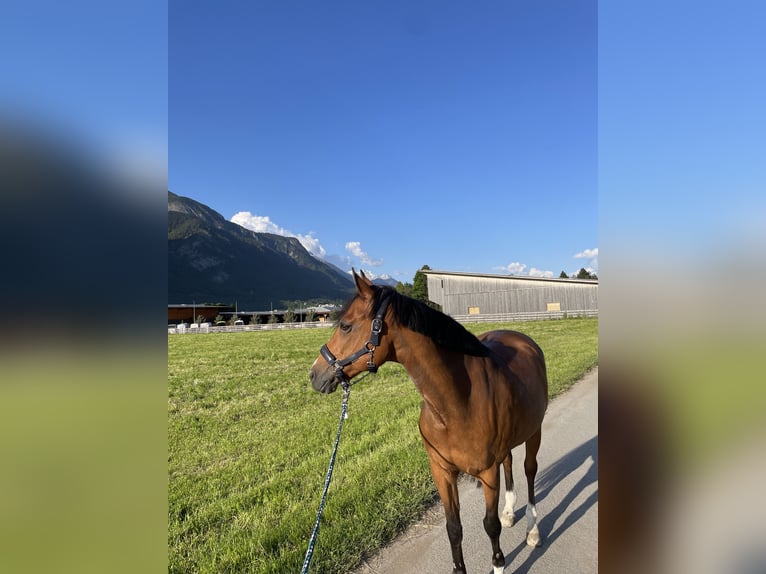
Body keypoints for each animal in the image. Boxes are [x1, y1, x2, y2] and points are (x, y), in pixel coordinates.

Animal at [308, 272, 548, 574]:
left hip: (534, 433)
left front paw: (499, 565)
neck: (457, 403)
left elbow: (490, 526)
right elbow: (454, 528)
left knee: (529, 471)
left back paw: (533, 530)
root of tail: (521, 338)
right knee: (509, 463)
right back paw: (509, 511)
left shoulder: (487, 473)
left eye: (345, 326)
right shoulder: (442, 471)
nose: (314, 374)